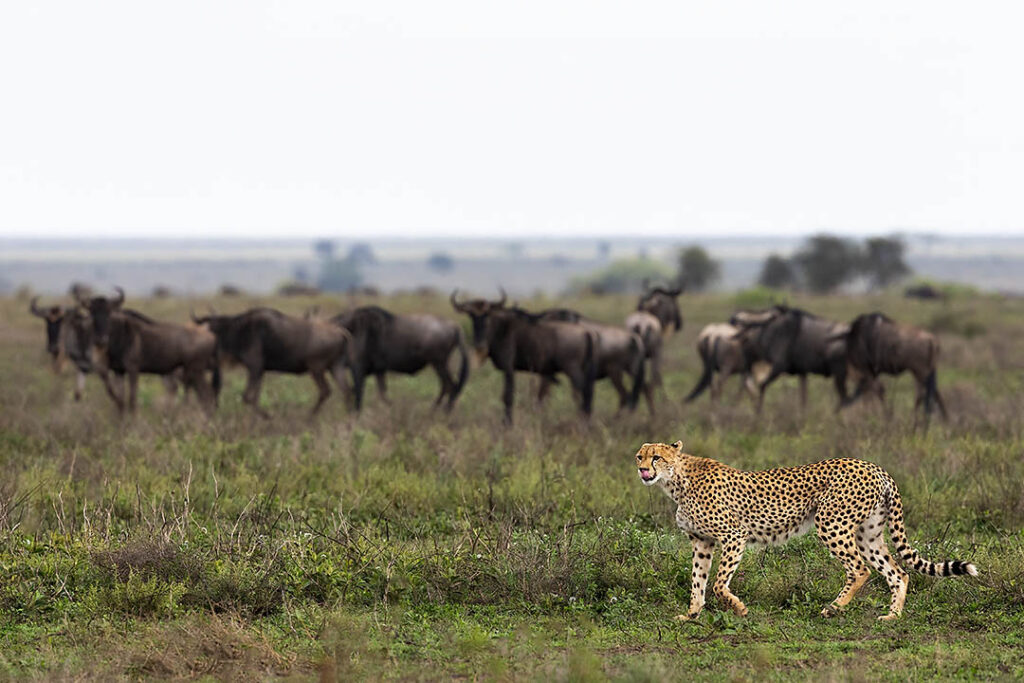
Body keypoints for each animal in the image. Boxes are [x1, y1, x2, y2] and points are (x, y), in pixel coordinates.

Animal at [636, 441, 978, 621]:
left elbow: (719, 584)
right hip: (868, 533)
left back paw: (832, 608)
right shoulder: (702, 542)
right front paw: (691, 615)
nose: (641, 469)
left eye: (657, 457)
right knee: (898, 572)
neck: (676, 480)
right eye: (640, 455)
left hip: (832, 523)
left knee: (860, 569)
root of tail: (874, 466)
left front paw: (739, 608)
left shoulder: (733, 535)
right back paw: (892, 616)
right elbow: (698, 580)